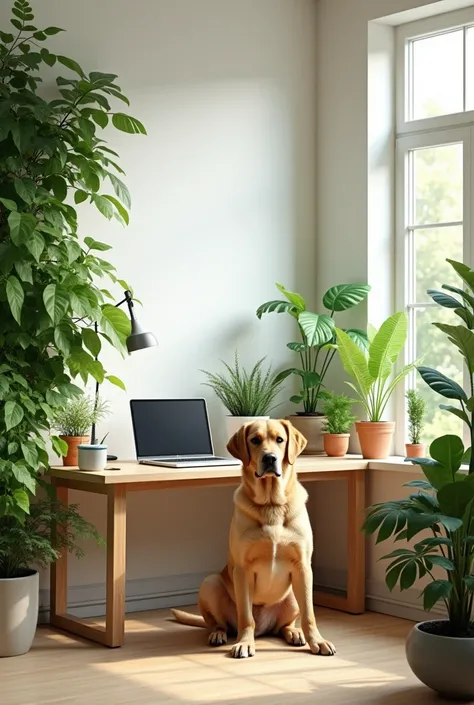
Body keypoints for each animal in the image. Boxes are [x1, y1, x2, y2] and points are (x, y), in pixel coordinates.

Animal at [172, 418, 336, 656]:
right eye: (255, 440)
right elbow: (246, 617)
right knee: (219, 623)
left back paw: (294, 633)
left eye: (280, 439)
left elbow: (309, 615)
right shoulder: (243, 569)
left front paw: (317, 641)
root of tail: (263, 629)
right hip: (210, 583)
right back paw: (219, 635)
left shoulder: (304, 567)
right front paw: (244, 643)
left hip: (292, 595)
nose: (270, 458)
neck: (271, 504)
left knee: (284, 625)